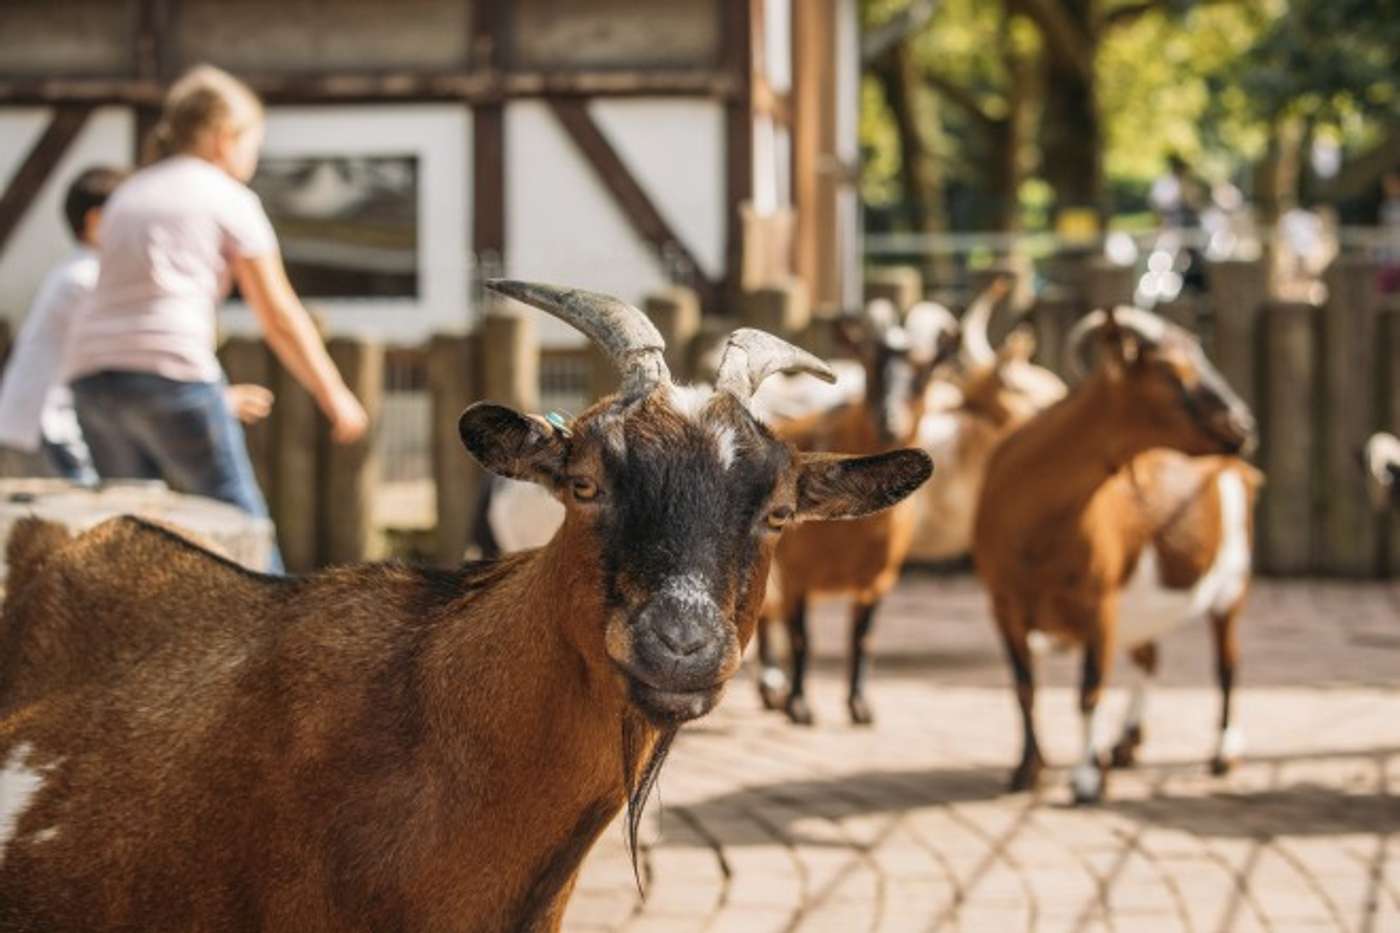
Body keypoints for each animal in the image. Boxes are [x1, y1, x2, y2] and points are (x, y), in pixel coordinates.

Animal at [974, 305, 1260, 801]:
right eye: (1171, 371)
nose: (1242, 425)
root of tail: (1239, 471)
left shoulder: (1099, 601)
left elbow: (1090, 688)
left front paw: (1088, 779)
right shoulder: (1003, 604)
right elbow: (1024, 686)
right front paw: (1027, 769)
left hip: (1231, 586)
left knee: (1227, 664)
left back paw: (1223, 752)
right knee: (1150, 657)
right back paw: (1126, 743)